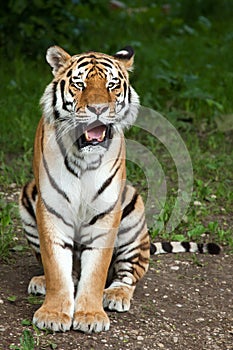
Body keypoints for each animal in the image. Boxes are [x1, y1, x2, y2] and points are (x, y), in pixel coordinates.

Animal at [18, 45, 220, 334]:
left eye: (112, 85)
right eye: (79, 84)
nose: (99, 109)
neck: (83, 157)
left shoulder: (106, 212)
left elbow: (96, 271)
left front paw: (90, 316)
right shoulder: (51, 207)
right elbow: (57, 266)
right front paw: (53, 313)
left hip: (133, 214)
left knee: (129, 273)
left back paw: (115, 295)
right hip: (27, 197)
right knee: (69, 271)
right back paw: (42, 281)